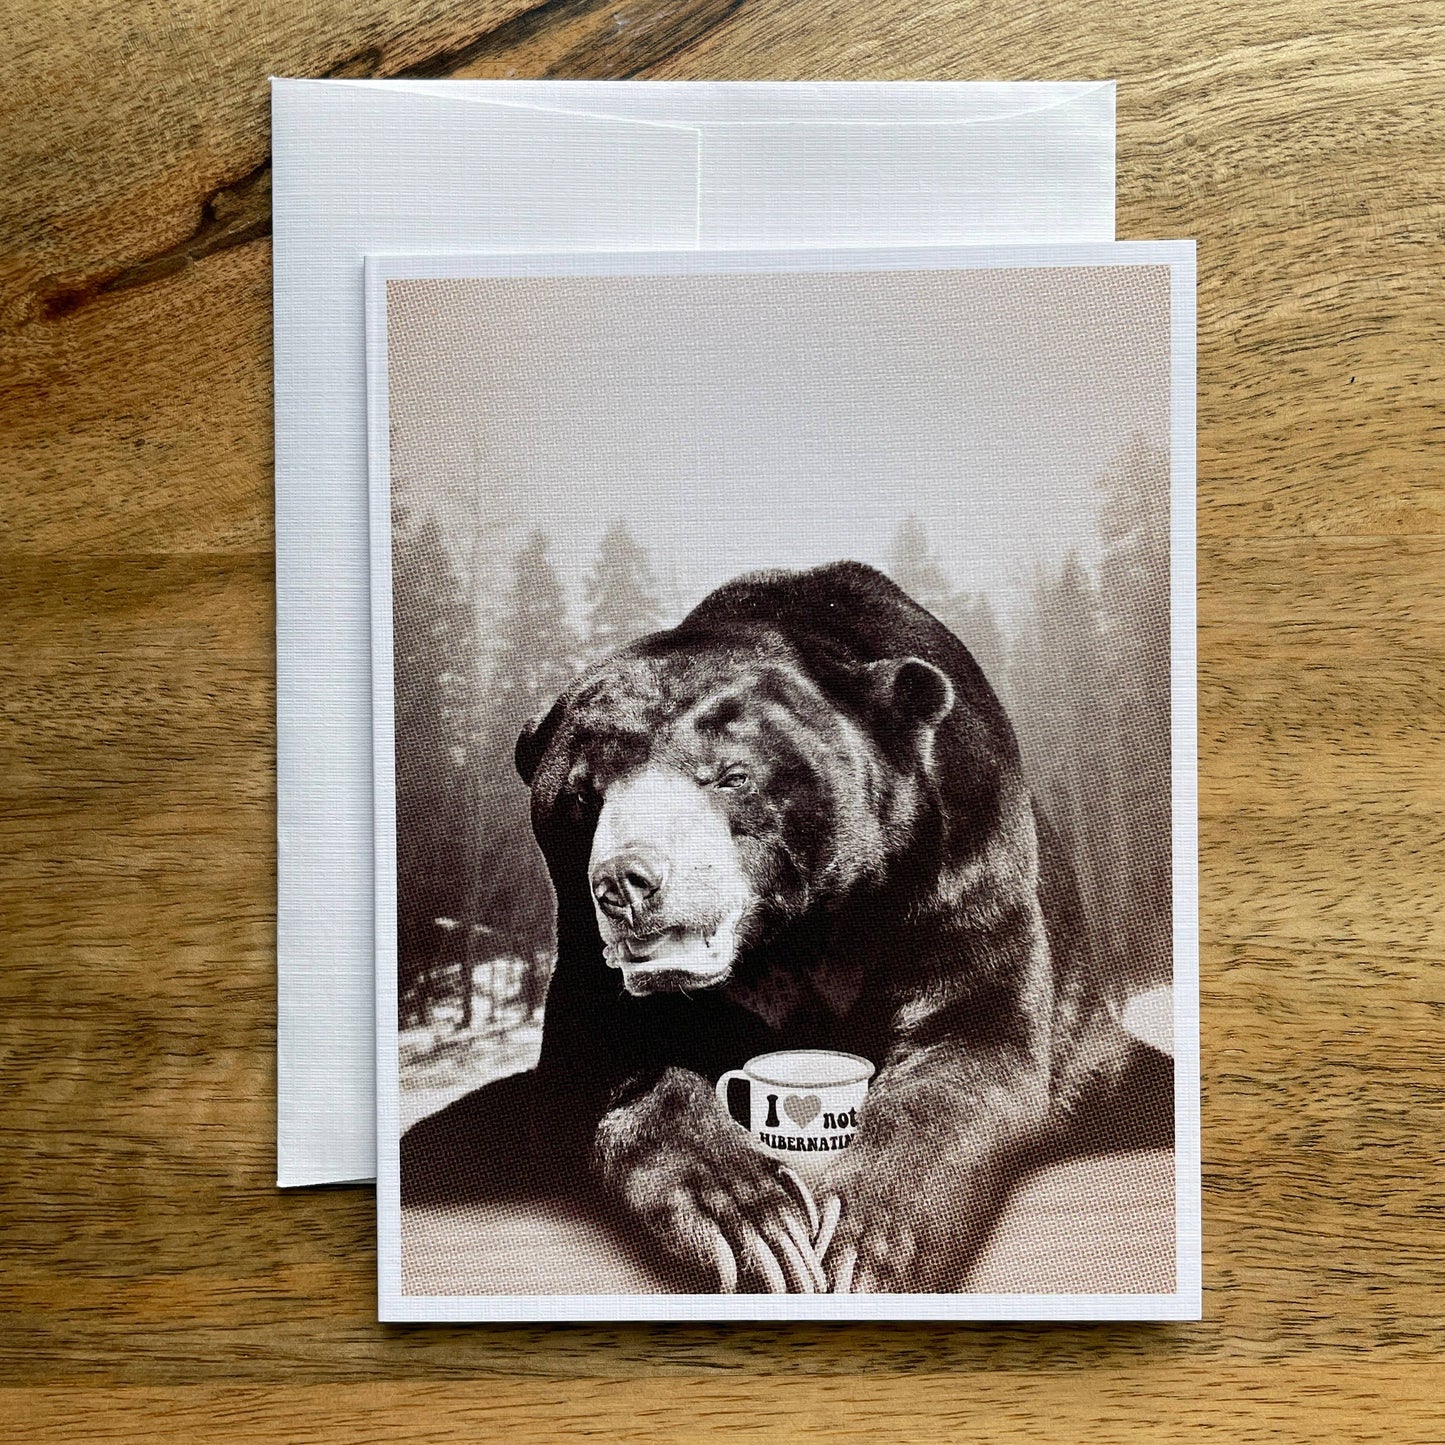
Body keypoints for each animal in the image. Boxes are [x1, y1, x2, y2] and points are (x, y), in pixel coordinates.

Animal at [402, 560, 1172, 1293]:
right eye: (584, 797)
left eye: (730, 776)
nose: (626, 881)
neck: (794, 936)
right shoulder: (589, 955)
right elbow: (602, 1056)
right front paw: (752, 1224)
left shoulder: (957, 854)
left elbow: (970, 1035)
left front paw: (857, 1243)